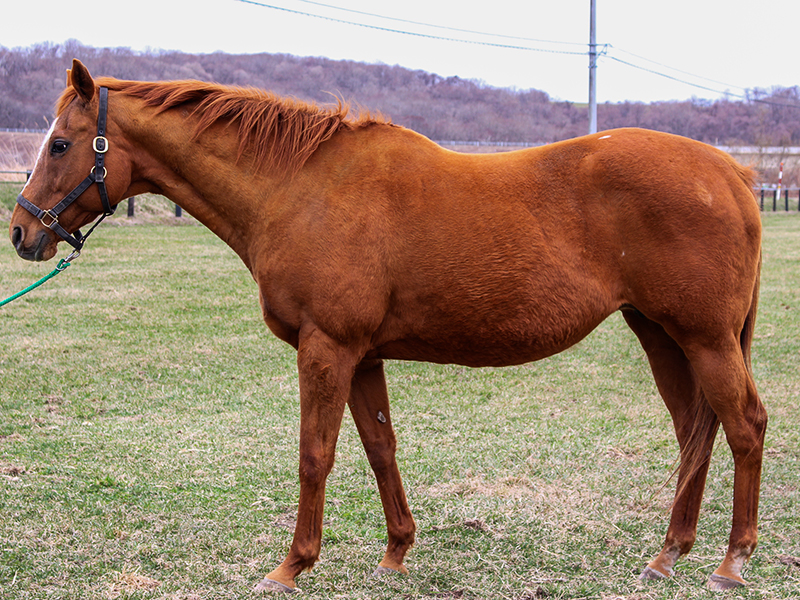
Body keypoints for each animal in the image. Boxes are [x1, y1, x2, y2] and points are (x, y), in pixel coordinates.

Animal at [9, 58, 764, 592]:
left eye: (61, 144)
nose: (21, 233)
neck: (301, 187)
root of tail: (730, 172)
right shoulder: (362, 355)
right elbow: (380, 448)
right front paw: (396, 552)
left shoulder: (327, 348)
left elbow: (315, 454)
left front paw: (290, 567)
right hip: (661, 335)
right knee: (694, 430)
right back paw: (667, 556)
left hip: (704, 339)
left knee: (744, 426)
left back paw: (731, 562)